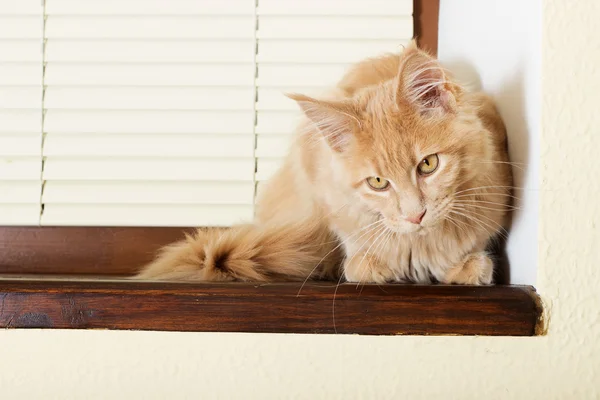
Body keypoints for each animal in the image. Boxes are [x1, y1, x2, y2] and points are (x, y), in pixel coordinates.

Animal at [136, 40, 510, 284]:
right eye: (378, 183)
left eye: (428, 165)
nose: (414, 215)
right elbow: (360, 260)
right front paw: (376, 264)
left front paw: (464, 266)